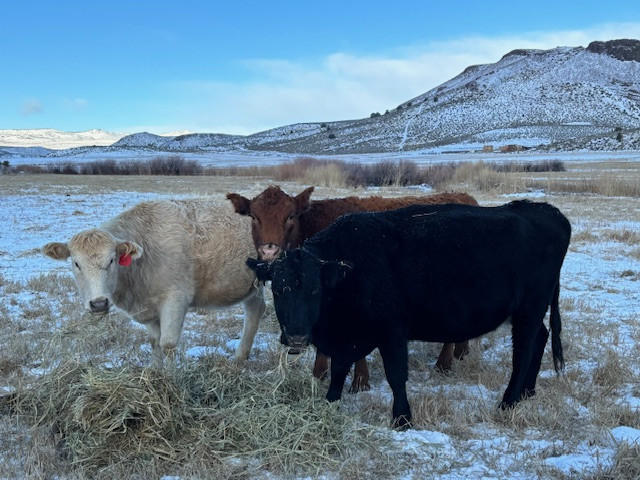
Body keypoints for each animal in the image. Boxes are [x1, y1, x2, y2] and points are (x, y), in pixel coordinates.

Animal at [43, 198, 264, 360]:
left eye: (112, 260)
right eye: (76, 263)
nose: (99, 303)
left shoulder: (176, 298)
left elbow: (168, 344)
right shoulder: (148, 306)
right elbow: (155, 343)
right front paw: (156, 374)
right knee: (255, 311)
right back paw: (239, 358)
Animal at [228, 186, 478, 392]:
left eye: (290, 216)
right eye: (254, 217)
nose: (269, 252)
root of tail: (465, 197)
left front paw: (360, 380)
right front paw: (319, 374)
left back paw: (444, 363)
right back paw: (460, 352)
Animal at [248, 199, 572, 428]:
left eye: (316, 289)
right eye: (277, 289)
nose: (296, 336)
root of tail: (545, 211)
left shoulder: (391, 331)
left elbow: (395, 375)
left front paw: (402, 419)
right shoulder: (346, 336)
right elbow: (339, 370)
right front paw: (330, 403)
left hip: (529, 309)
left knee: (524, 351)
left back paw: (508, 401)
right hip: (531, 311)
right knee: (541, 338)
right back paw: (528, 392)